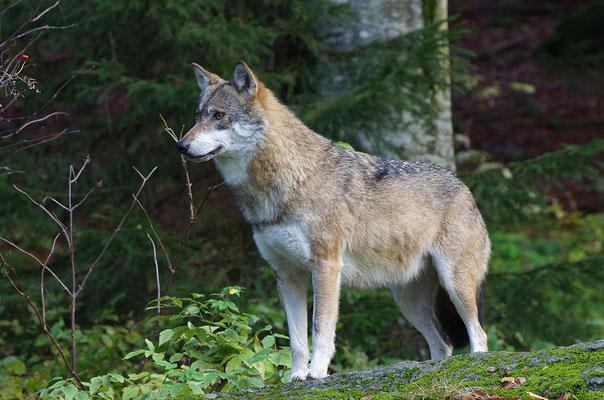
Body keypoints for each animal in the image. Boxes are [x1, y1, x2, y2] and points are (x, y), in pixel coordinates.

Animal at [176, 61, 490, 382]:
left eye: (218, 115)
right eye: (198, 115)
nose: (181, 145)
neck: (291, 180)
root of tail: (465, 188)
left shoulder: (326, 267)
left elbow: (320, 330)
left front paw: (316, 372)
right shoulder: (287, 275)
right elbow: (297, 340)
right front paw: (296, 375)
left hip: (455, 285)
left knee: (478, 334)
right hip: (408, 301)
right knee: (443, 344)